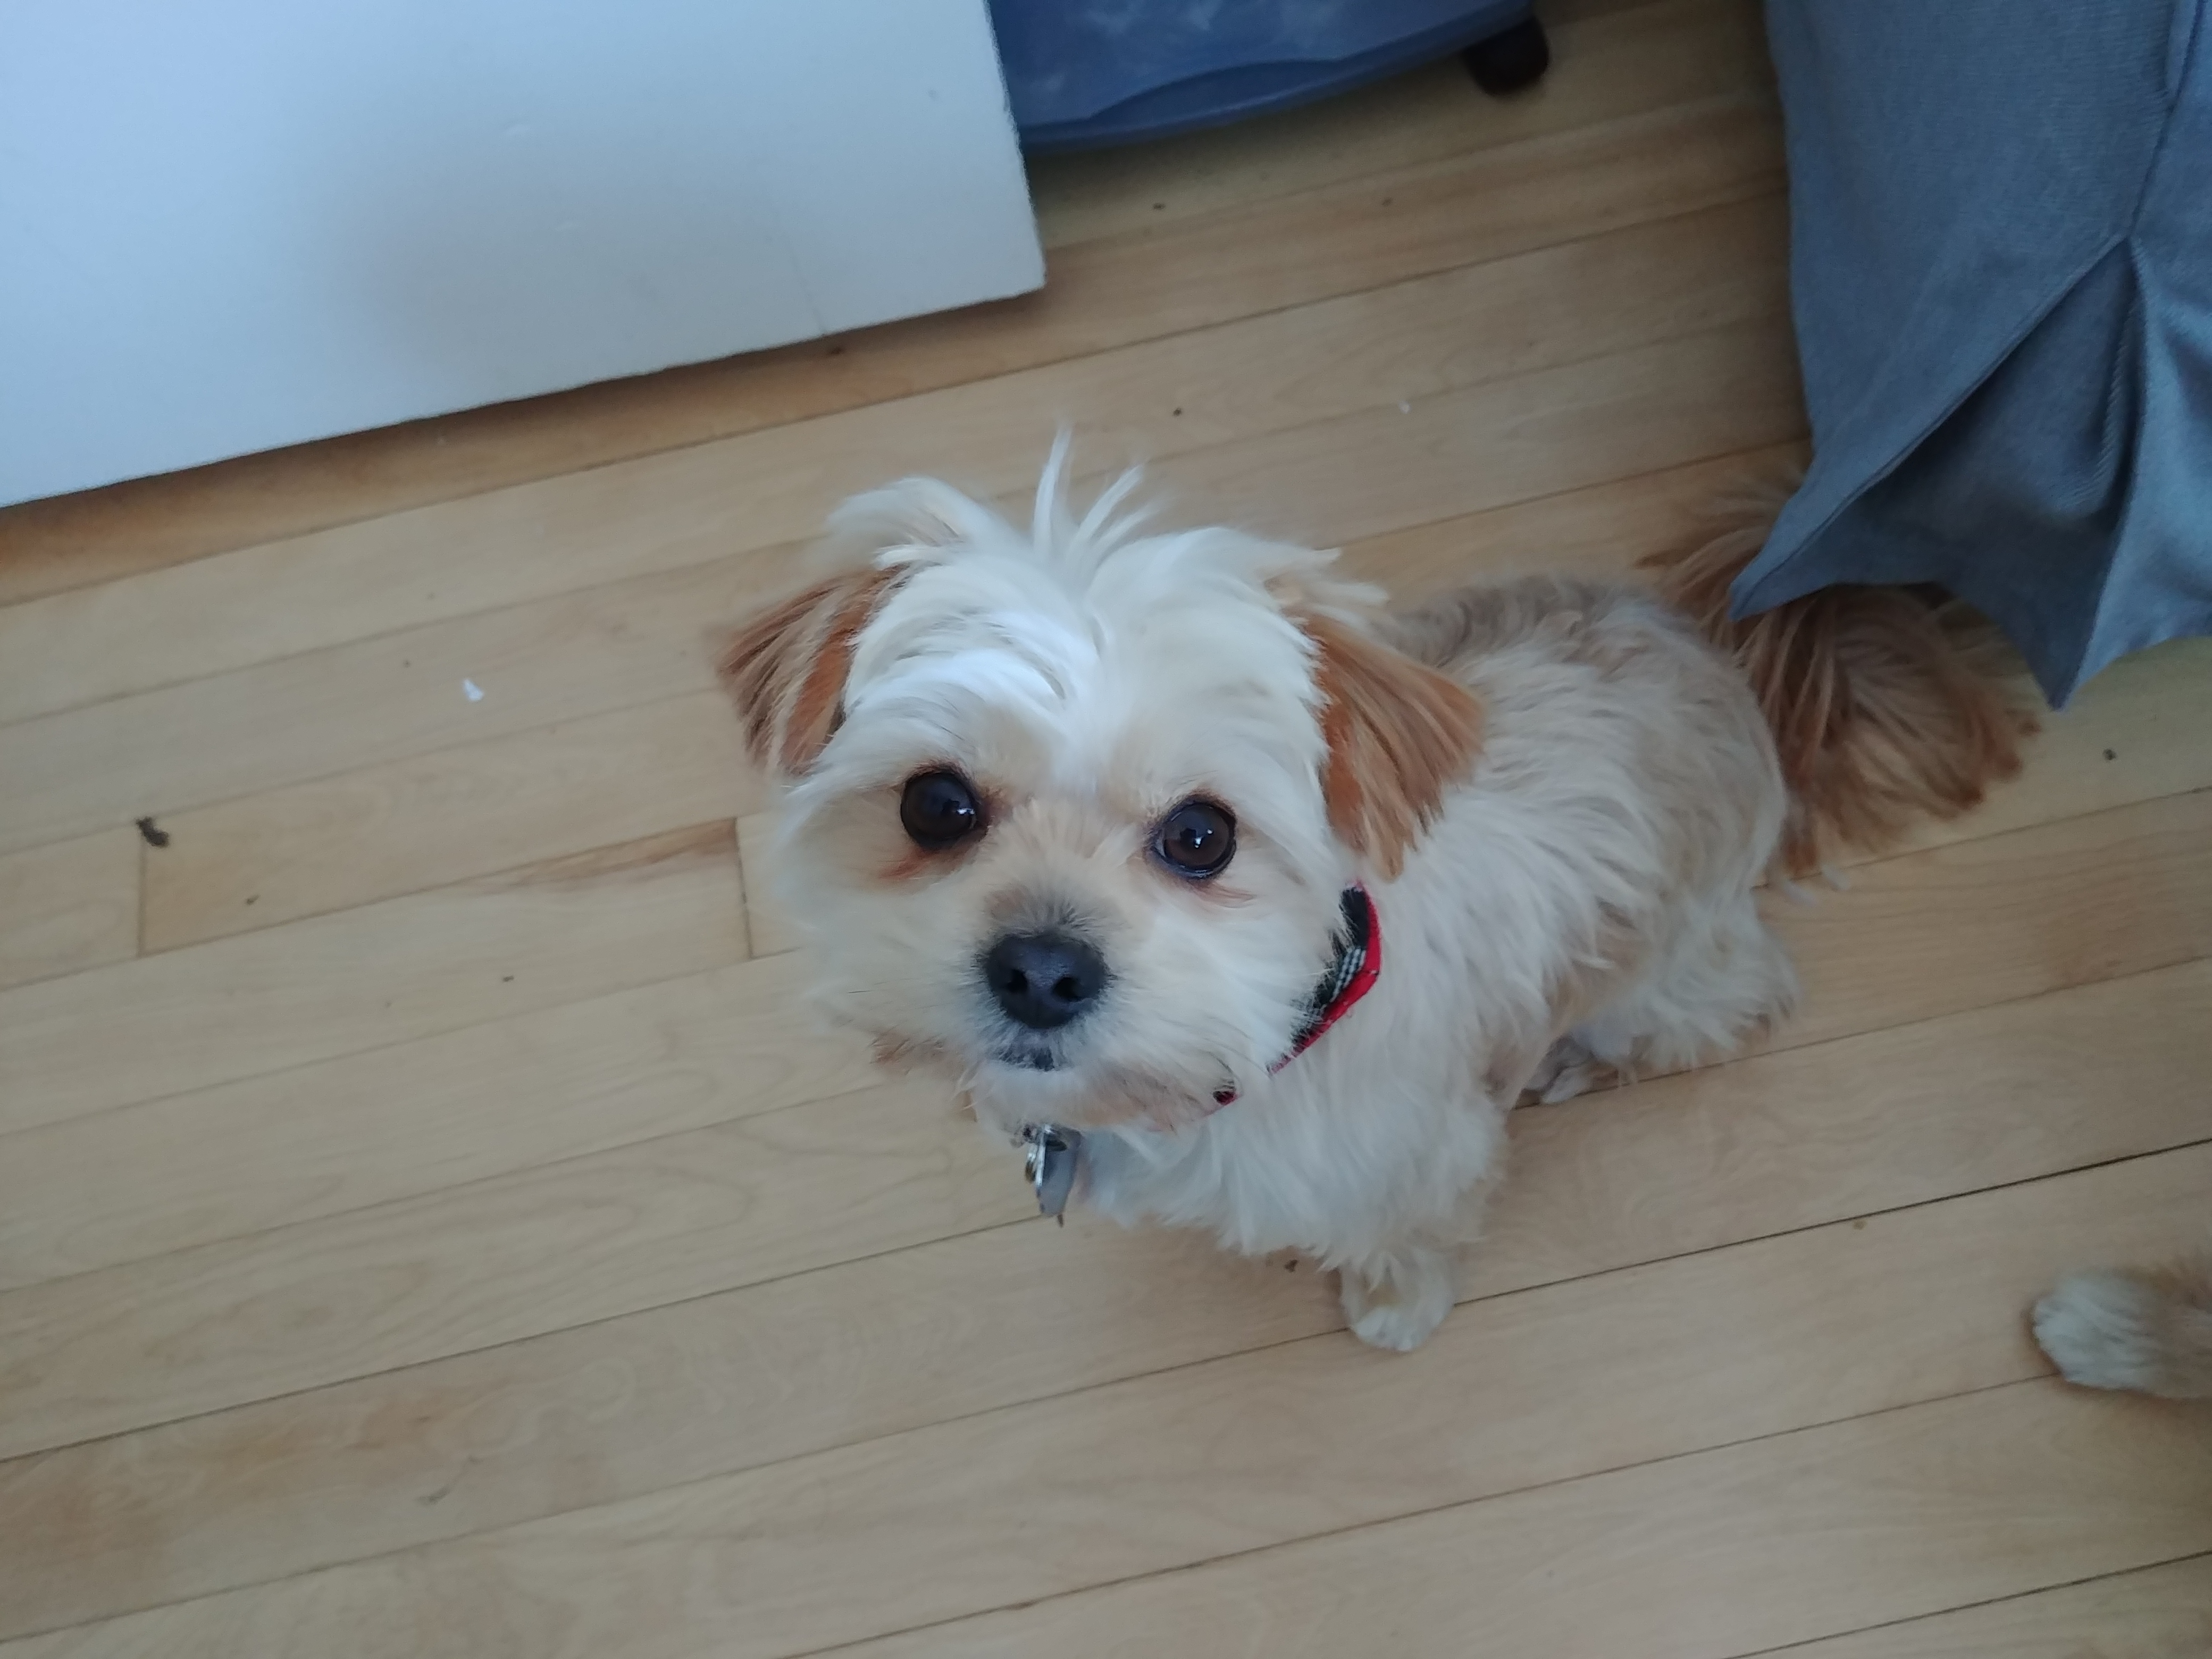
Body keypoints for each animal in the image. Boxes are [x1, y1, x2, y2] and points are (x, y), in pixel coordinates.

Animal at [719, 445, 2027, 1350]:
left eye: (1202, 837)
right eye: (936, 806)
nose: (1042, 971)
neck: (1273, 1034)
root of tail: (1723, 651)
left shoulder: (1424, 1156)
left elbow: (1413, 1230)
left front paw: (1397, 1304)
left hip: (1669, 979)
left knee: (1731, 1011)